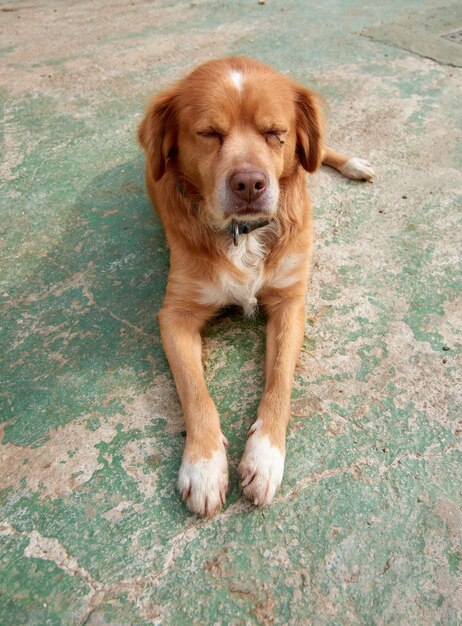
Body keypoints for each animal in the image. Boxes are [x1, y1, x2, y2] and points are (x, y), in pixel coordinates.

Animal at [138, 56, 376, 516]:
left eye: (275, 133)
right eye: (209, 133)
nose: (250, 184)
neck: (241, 233)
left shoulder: (290, 302)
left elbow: (280, 379)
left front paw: (265, 458)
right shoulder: (175, 314)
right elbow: (194, 391)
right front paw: (204, 465)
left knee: (320, 153)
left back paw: (354, 164)